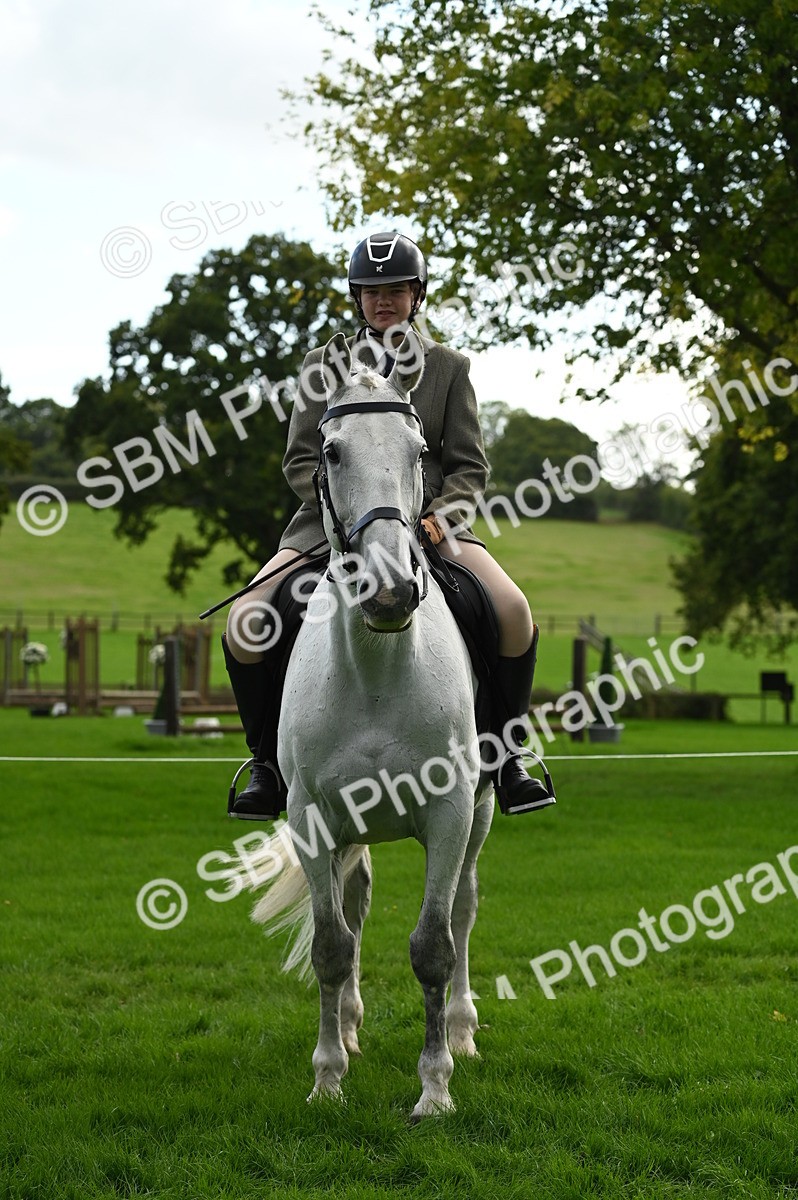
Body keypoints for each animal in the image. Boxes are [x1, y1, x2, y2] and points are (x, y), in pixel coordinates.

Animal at [246, 331, 494, 1120]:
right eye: (330, 452)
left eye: (419, 450)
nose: (389, 592)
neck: (381, 665)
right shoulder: (311, 816)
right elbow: (333, 946)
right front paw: (327, 1079)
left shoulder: (449, 812)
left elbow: (434, 947)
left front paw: (435, 1090)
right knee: (353, 907)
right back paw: (350, 1031)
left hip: (479, 816)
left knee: (466, 908)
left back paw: (463, 1030)